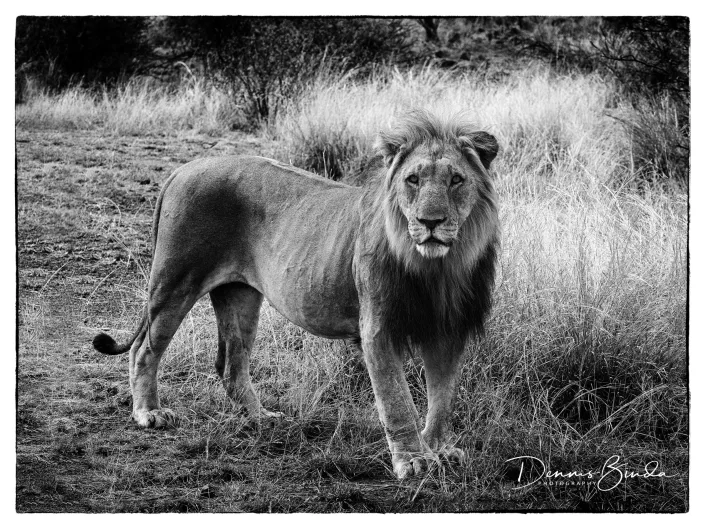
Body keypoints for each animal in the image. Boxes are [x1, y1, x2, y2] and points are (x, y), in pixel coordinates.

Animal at [93, 110, 499, 480]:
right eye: (413, 180)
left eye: (456, 180)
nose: (431, 222)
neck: (438, 268)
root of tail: (184, 168)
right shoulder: (378, 328)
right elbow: (397, 399)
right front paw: (414, 460)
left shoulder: (450, 329)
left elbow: (443, 397)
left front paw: (439, 449)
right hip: (175, 279)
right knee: (143, 349)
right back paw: (149, 413)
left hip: (239, 294)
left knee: (231, 364)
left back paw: (262, 417)